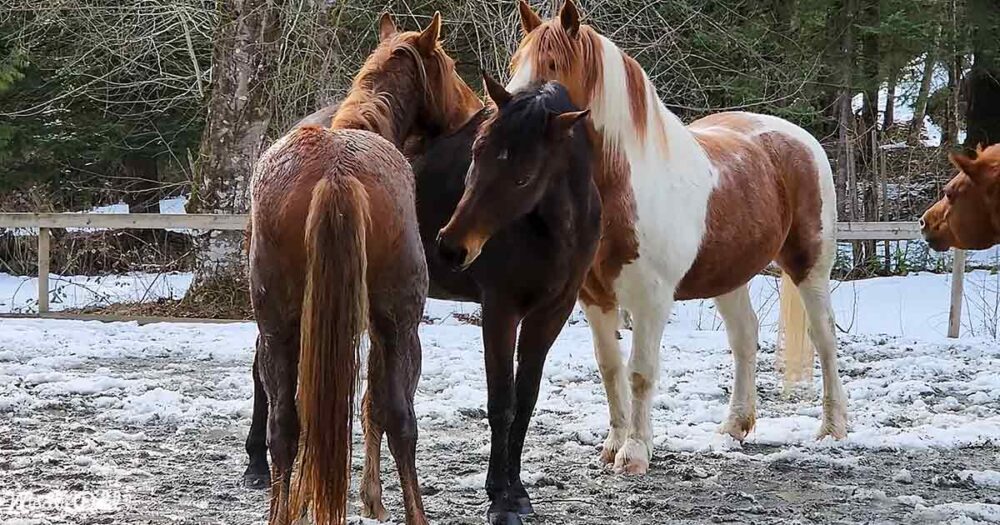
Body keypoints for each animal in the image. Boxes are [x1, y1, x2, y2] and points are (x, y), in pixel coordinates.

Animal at [247, 13, 480, 525]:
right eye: (450, 64)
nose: (474, 107)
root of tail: (335, 173)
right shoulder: (386, 323)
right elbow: (380, 407)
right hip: (399, 325)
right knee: (400, 419)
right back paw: (415, 513)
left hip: (279, 328)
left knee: (284, 424)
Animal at [427, 78, 599, 525]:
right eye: (476, 151)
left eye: (524, 178)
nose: (451, 248)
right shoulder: (501, 311)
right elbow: (501, 402)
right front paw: (500, 501)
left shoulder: (550, 314)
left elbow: (525, 400)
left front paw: (516, 490)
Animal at [509, 0, 848, 474]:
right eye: (515, 63)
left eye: (553, 66)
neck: (624, 185)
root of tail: (799, 138)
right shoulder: (595, 298)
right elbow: (609, 368)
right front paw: (613, 446)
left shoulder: (651, 300)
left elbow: (640, 372)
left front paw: (635, 452)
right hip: (728, 276)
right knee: (744, 337)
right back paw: (735, 426)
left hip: (810, 266)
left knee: (824, 337)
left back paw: (832, 429)